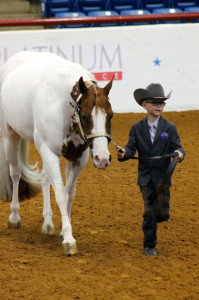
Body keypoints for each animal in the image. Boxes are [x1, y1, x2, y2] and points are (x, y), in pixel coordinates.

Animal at [0, 51, 113, 255]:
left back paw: (47, 222)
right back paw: (14, 217)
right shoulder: (49, 152)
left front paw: (62, 230)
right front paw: (68, 239)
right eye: (85, 116)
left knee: (45, 178)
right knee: (16, 174)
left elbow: (69, 193)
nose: (102, 158)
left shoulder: (78, 157)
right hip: (10, 137)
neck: (61, 103)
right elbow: (60, 193)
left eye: (110, 115)